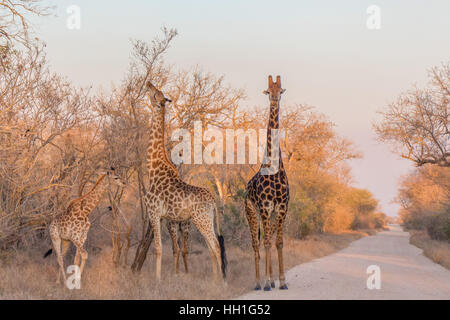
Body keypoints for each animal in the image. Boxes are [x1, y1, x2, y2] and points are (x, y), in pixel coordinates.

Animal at [144, 81, 227, 282]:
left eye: (155, 94)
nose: (149, 83)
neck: (153, 168)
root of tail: (213, 201)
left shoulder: (154, 212)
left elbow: (158, 248)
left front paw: (157, 280)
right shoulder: (167, 218)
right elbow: (170, 249)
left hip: (201, 219)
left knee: (215, 245)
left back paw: (221, 282)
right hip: (204, 220)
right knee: (212, 247)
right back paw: (214, 280)